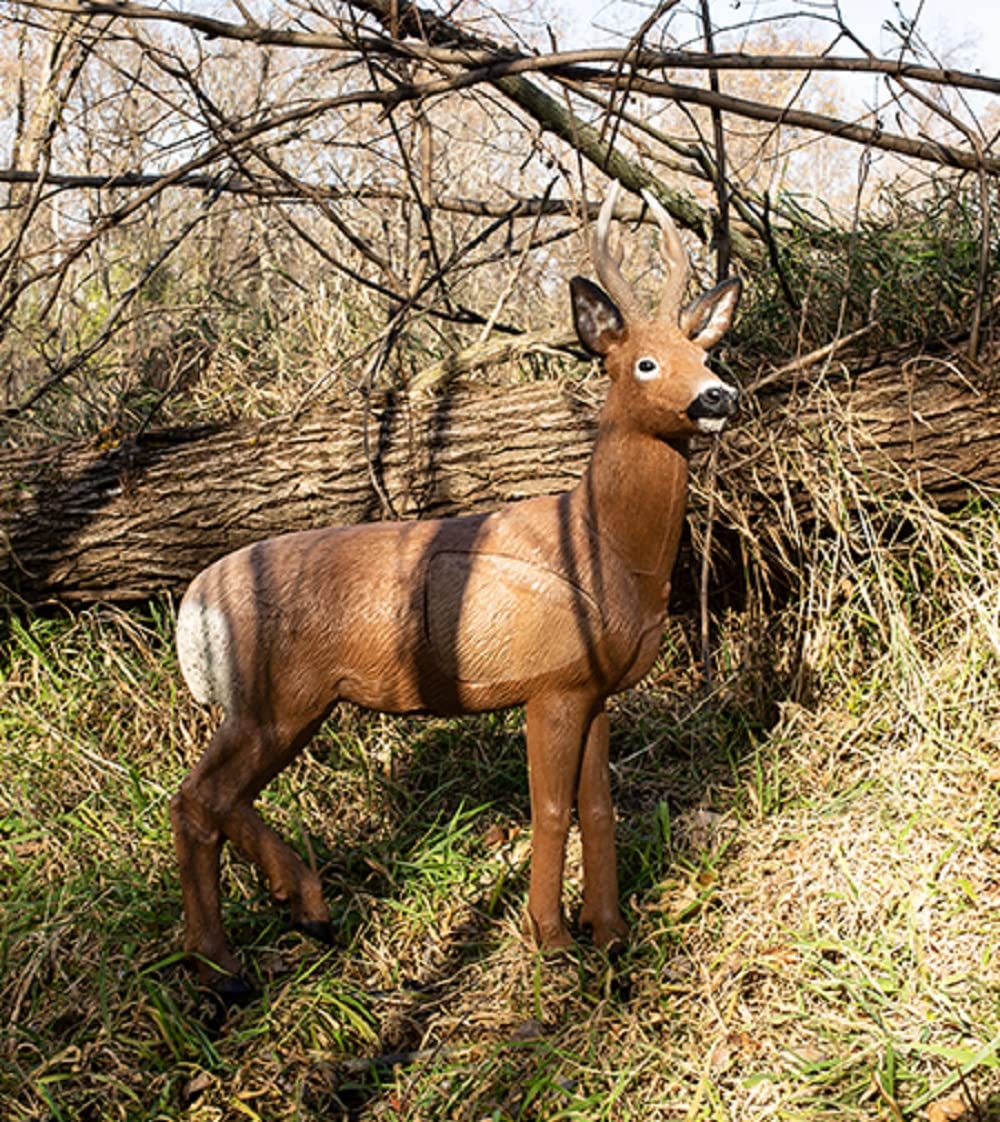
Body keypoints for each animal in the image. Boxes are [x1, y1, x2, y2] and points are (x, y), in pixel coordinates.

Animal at [172, 181, 741, 1000]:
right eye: (642, 362)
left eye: (704, 351)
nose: (716, 396)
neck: (605, 549)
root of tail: (195, 603)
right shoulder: (552, 682)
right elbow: (550, 808)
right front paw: (551, 940)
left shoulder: (598, 690)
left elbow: (599, 808)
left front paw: (612, 934)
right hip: (274, 695)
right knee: (199, 797)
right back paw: (248, 948)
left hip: (285, 703)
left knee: (211, 800)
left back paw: (256, 936)